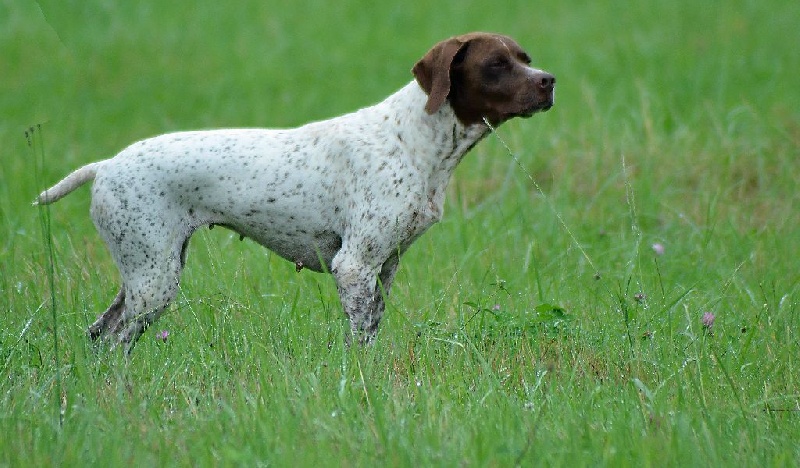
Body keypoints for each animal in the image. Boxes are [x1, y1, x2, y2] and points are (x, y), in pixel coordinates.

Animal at [34, 33, 552, 352]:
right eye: (496, 65)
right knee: (115, 341)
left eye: (526, 59)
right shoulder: (354, 266)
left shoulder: (384, 268)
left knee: (100, 334)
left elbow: (370, 333)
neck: (413, 139)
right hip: (154, 279)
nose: (549, 82)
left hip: (144, 272)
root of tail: (106, 165)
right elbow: (358, 341)